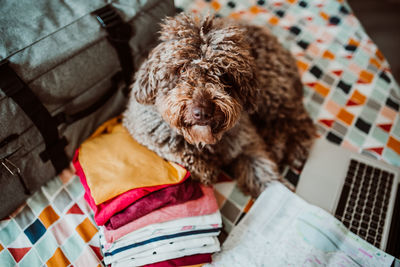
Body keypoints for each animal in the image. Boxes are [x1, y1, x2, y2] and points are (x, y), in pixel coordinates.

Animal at [123, 13, 318, 197]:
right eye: (181, 70)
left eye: (224, 75)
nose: (202, 112)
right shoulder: (144, 131)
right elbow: (179, 153)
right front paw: (205, 168)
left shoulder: (247, 144)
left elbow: (263, 172)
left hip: (272, 93)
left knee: (297, 121)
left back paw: (292, 148)